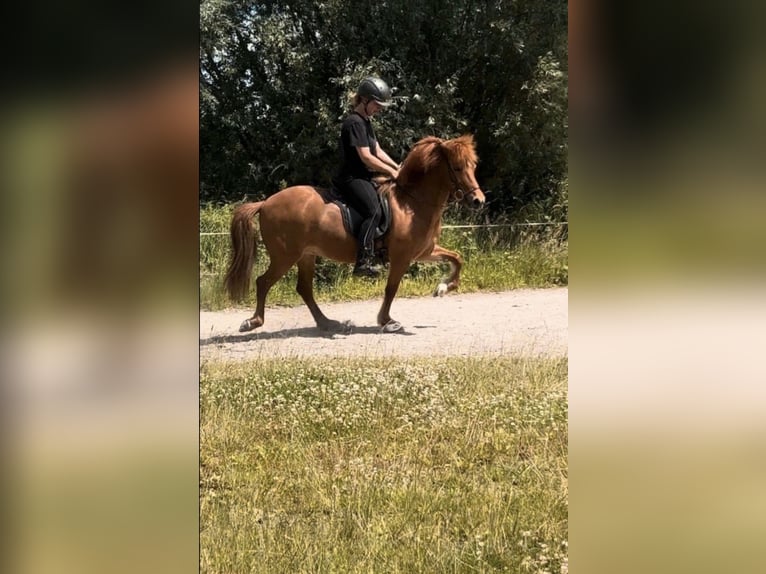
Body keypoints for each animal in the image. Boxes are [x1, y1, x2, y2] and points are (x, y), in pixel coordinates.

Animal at [224, 134, 485, 333]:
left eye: (474, 166)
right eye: (457, 167)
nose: (478, 200)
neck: (411, 203)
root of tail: (266, 203)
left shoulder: (424, 251)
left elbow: (457, 259)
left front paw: (443, 288)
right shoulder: (402, 257)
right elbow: (391, 288)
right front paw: (387, 321)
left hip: (306, 255)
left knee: (304, 288)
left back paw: (328, 323)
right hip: (285, 256)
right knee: (263, 282)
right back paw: (253, 322)